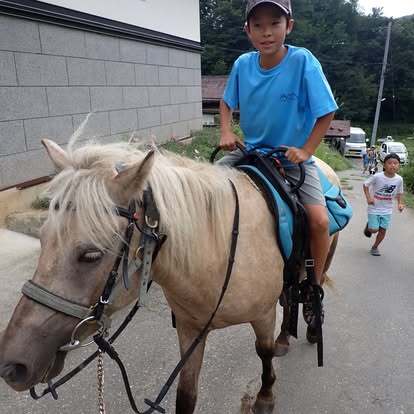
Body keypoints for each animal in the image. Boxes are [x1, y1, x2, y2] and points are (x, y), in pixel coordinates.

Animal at [0, 140, 338, 414]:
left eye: (91, 255)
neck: (219, 246)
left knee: (309, 290)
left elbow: (264, 352)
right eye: (42, 239)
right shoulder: (190, 329)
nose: (12, 365)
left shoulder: (263, 314)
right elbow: (186, 394)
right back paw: (285, 337)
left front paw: (265, 397)